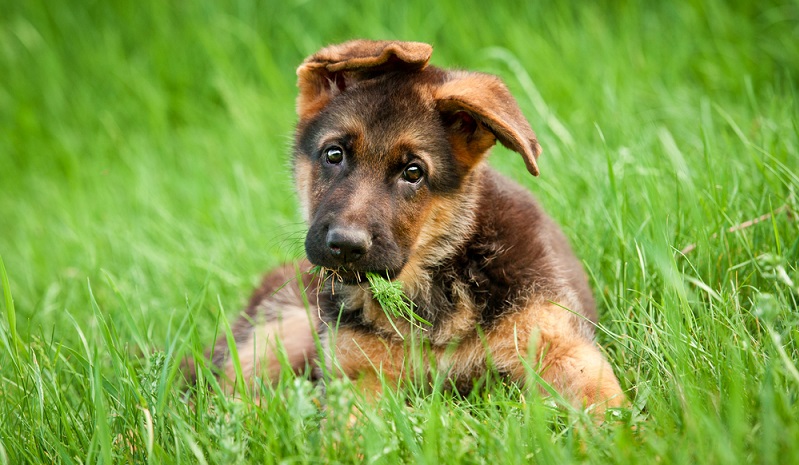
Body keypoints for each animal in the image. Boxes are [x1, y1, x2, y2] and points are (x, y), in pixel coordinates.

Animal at [209, 40, 628, 414]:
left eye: (414, 172)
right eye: (334, 154)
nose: (345, 245)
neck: (431, 284)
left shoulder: (559, 345)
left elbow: (608, 409)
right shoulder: (357, 375)